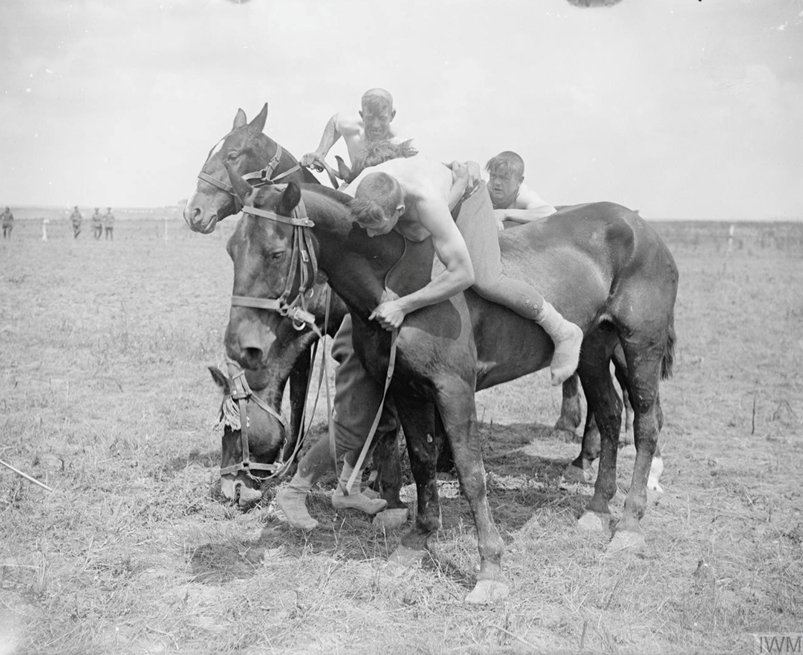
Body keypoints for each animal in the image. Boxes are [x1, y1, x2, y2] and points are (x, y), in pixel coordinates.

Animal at [220, 168, 680, 604]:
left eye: (276, 253)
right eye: (230, 250)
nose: (242, 346)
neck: (397, 286)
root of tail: (641, 226)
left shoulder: (453, 391)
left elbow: (470, 472)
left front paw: (490, 568)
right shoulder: (406, 390)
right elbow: (422, 461)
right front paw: (416, 541)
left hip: (640, 347)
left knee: (645, 424)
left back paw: (629, 522)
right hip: (594, 351)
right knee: (610, 415)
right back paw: (598, 507)